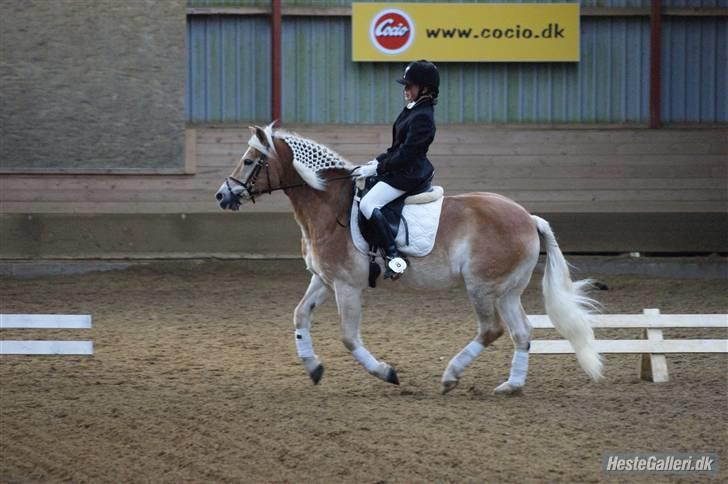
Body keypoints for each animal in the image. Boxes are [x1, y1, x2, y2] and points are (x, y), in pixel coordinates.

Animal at [216, 125, 604, 398]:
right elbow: (299, 316)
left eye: (249, 161)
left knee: (492, 329)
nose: (222, 195)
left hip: (480, 286)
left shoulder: (346, 286)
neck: (328, 208)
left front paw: (386, 373)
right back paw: (511, 386)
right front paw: (313, 368)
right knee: (521, 332)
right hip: (507, 290)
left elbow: (349, 338)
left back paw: (450, 377)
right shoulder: (324, 280)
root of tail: (528, 217)